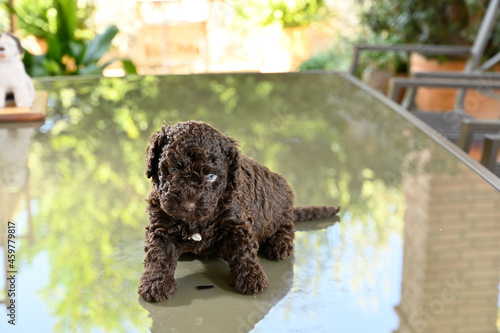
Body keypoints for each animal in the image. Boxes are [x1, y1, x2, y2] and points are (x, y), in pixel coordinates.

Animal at [137, 121, 340, 300]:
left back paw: (280, 244)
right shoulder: (161, 225)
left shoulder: (237, 222)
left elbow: (243, 249)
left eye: (211, 176)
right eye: (173, 169)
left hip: (280, 208)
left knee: (287, 227)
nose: (188, 205)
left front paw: (251, 277)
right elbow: (158, 254)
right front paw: (155, 282)